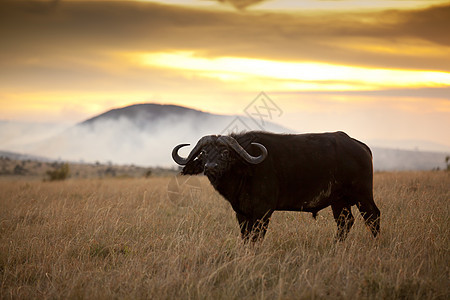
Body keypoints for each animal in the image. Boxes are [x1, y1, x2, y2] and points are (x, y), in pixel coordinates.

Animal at [172, 131, 380, 241]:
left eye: (225, 153)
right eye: (204, 153)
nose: (210, 167)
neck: (246, 171)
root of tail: (360, 146)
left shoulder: (263, 212)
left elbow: (257, 237)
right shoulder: (241, 213)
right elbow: (247, 237)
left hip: (363, 196)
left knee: (373, 216)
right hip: (339, 201)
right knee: (345, 223)